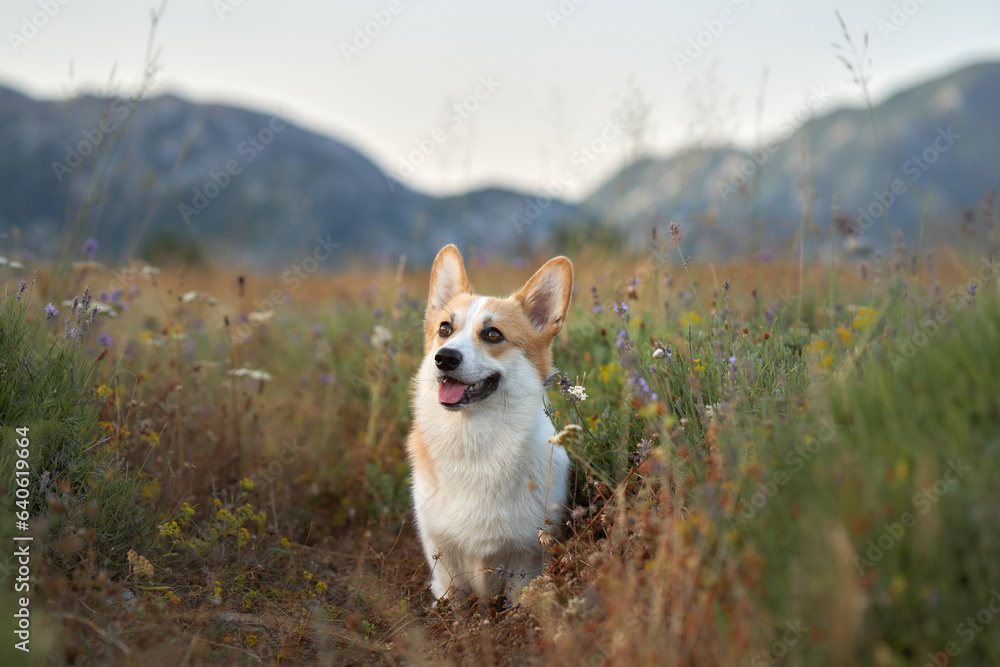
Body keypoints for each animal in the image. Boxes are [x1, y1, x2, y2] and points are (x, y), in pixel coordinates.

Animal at [404, 245, 572, 600]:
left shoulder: (527, 560)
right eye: (444, 329)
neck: (472, 437)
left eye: (493, 335)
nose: (445, 357)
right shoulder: (443, 564)